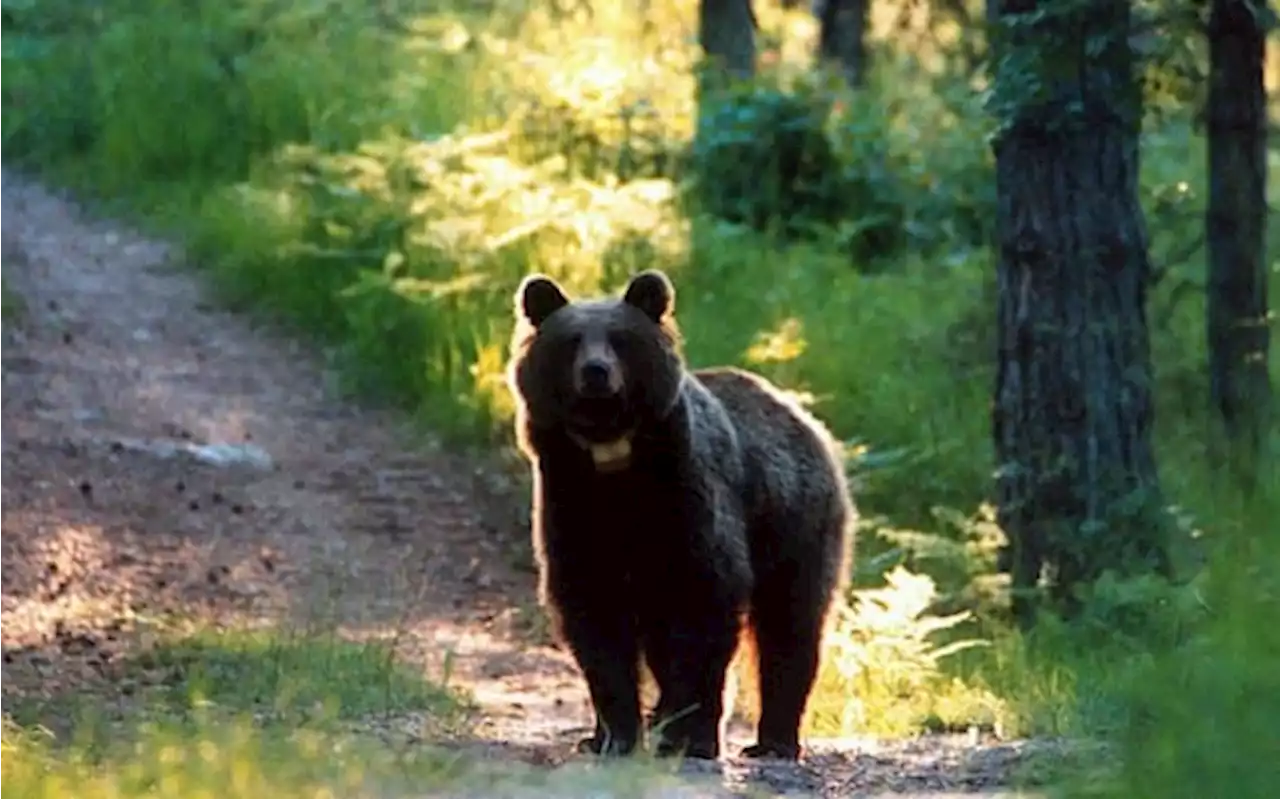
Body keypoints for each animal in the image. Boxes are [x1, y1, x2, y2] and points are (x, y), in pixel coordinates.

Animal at [504, 270, 855, 763]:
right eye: (571, 341)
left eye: (621, 339)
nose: (596, 372)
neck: (615, 463)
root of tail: (801, 415)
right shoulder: (574, 506)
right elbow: (595, 620)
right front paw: (615, 735)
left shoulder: (688, 503)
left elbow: (705, 606)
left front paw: (692, 737)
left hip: (794, 520)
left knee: (791, 624)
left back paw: (774, 741)